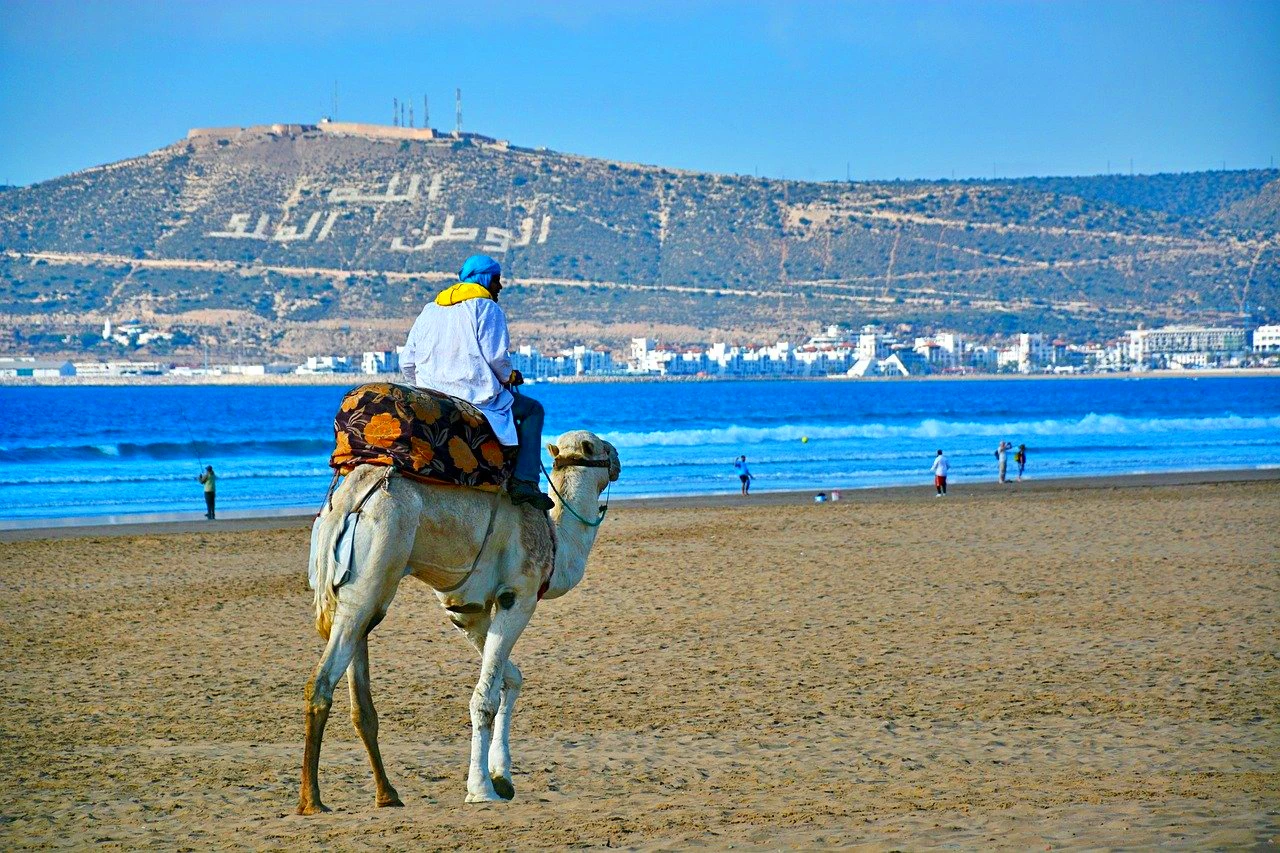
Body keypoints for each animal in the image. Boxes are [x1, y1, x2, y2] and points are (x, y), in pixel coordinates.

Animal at [299, 427, 619, 809]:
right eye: (599, 447)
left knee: (356, 694)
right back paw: (313, 801)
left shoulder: (466, 610)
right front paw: (481, 789)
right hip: (374, 570)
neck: (556, 542)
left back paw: (385, 793)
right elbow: (485, 698)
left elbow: (511, 679)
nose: (617, 458)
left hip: (355, 589)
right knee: (323, 679)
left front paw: (502, 777)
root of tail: (348, 502)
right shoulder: (518, 596)